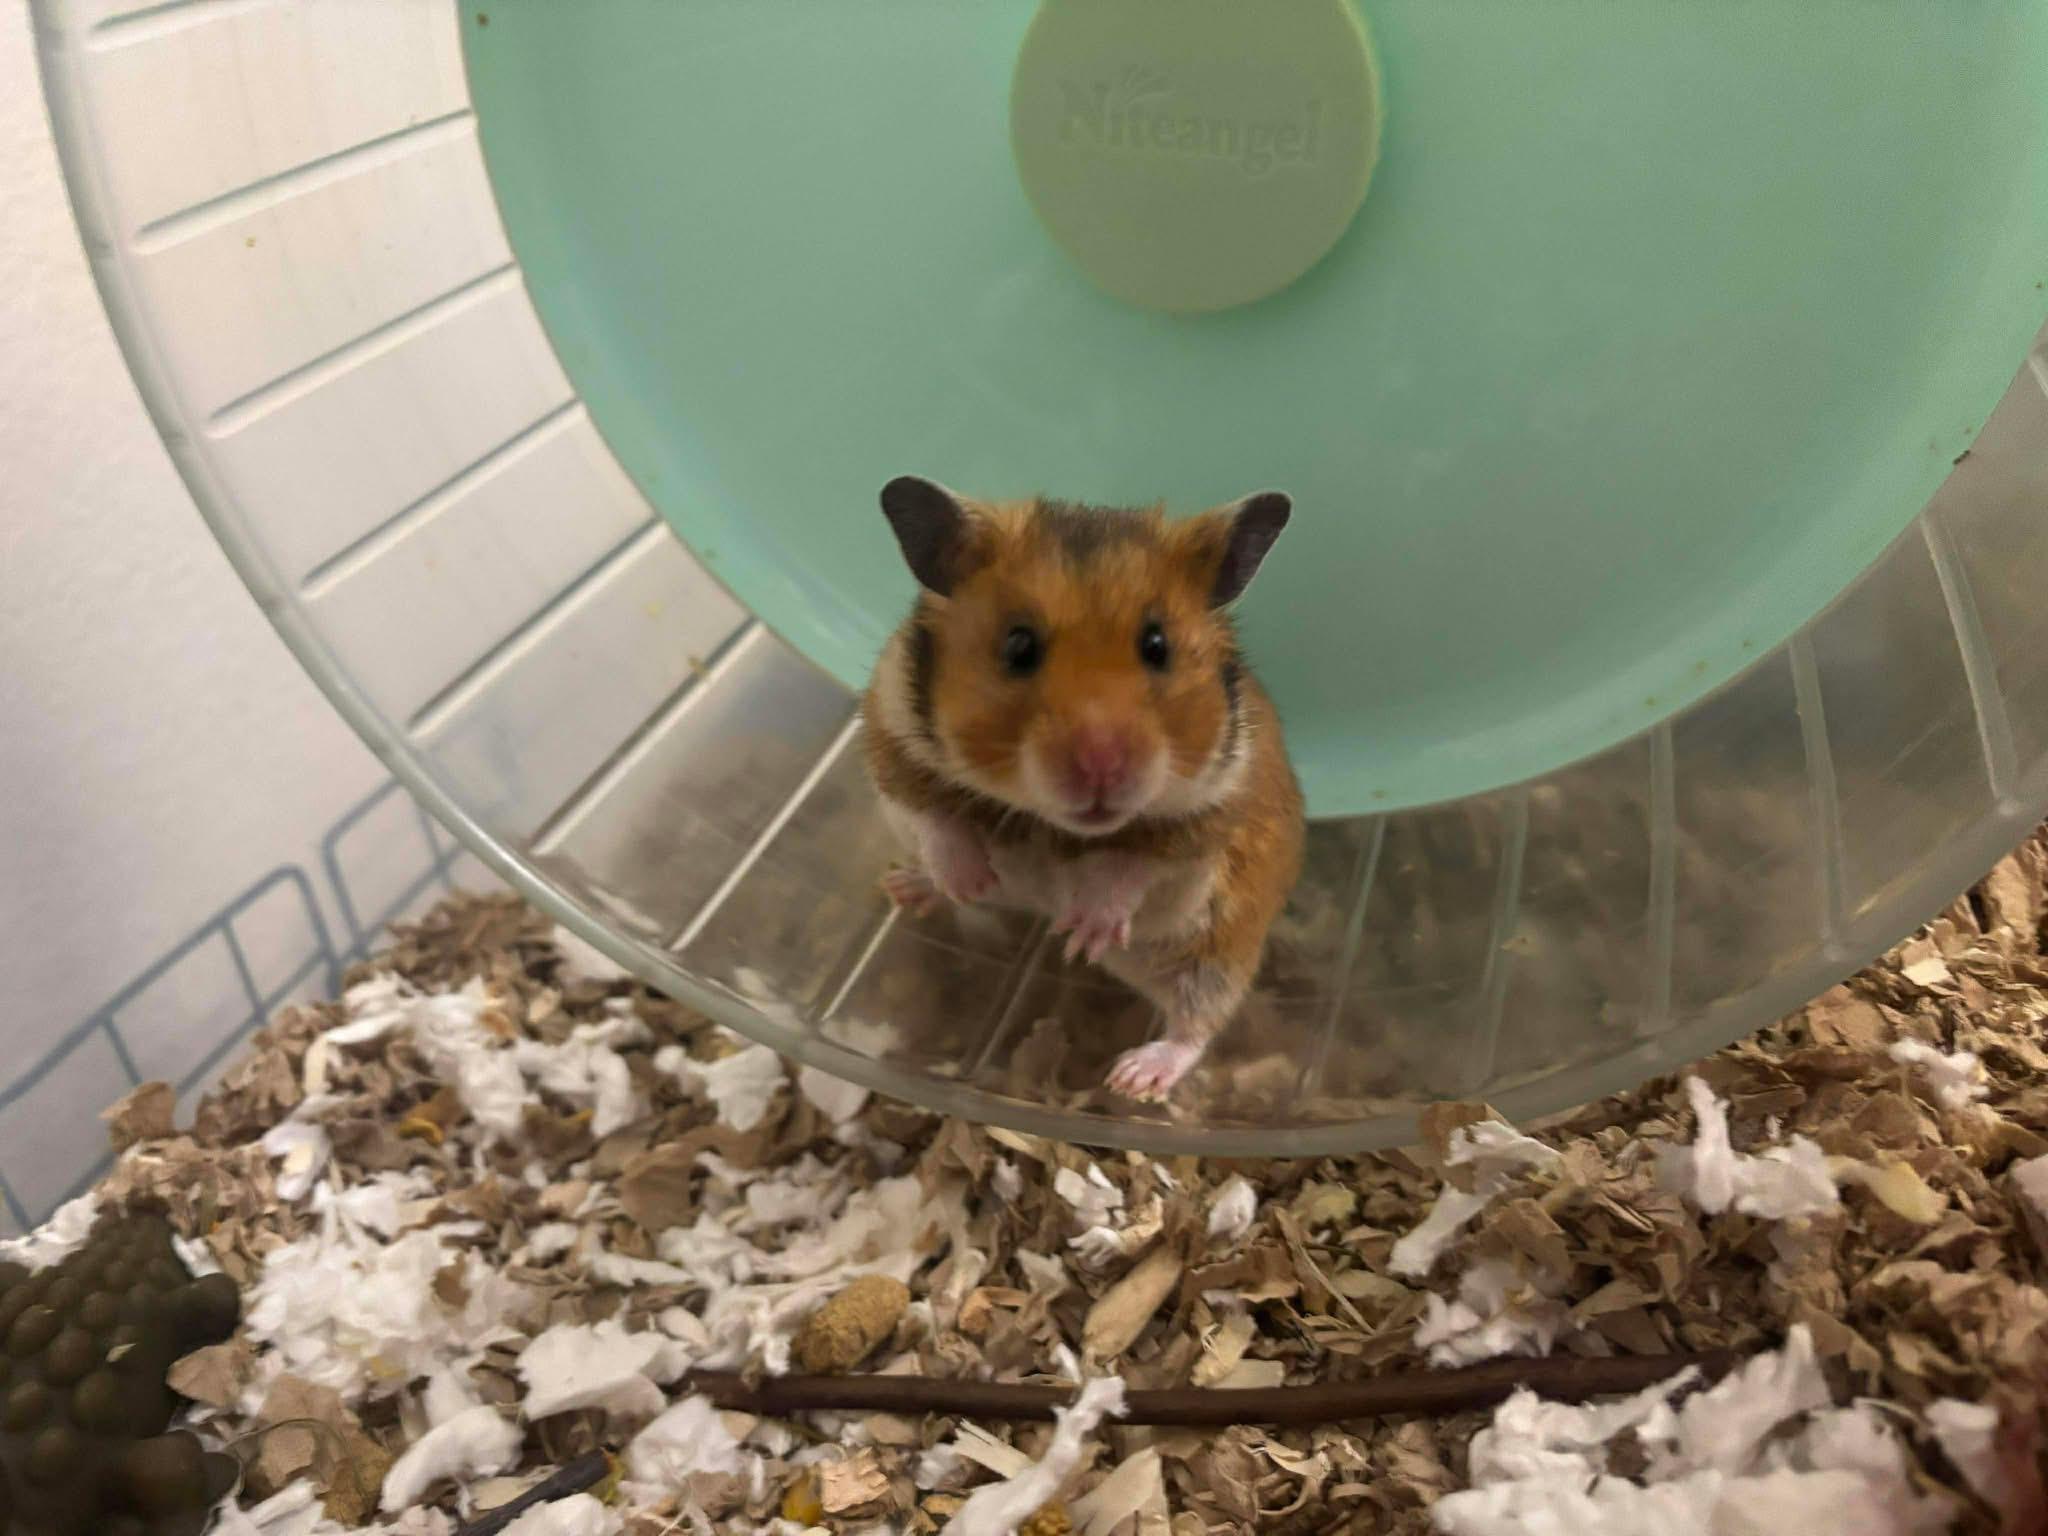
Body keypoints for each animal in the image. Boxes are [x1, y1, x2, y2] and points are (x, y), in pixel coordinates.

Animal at [862, 476, 1306, 1102]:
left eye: (1157, 645)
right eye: (1018, 646)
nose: (1102, 769)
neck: (1050, 823)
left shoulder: (1201, 821)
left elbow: (1126, 869)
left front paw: (1083, 933)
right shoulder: (892, 741)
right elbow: (938, 819)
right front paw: (970, 881)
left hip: (1215, 955)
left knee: (1198, 1026)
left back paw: (1132, 1076)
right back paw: (910, 887)